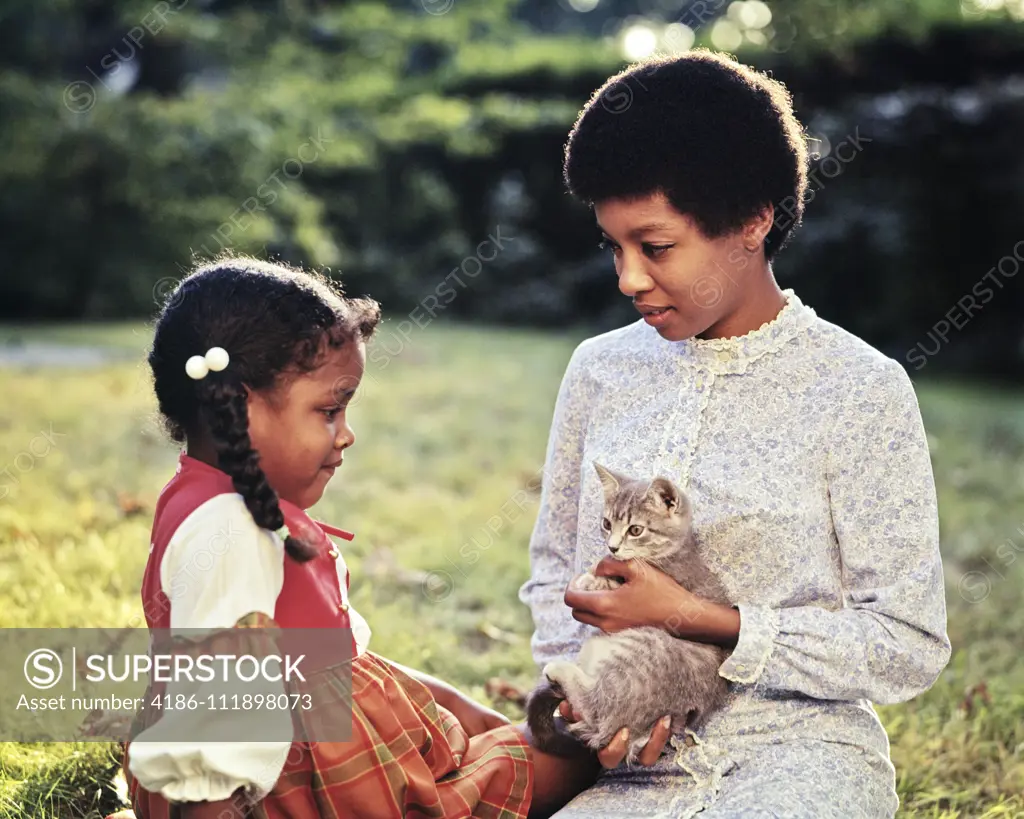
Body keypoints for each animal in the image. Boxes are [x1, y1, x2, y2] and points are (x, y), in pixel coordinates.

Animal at [528, 464, 729, 765]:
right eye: (607, 523)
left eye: (635, 529)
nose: (612, 547)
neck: (675, 551)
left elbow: (610, 583)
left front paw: (591, 579)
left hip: (643, 647)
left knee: (596, 705)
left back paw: (561, 670)